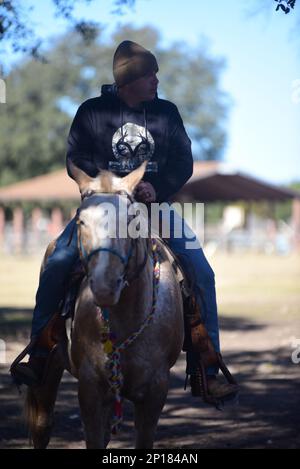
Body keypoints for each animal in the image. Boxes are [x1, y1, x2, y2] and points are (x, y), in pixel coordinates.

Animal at [24, 162, 184, 450]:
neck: (126, 321)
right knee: (42, 424)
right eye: (81, 221)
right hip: (49, 365)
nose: (104, 286)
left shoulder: (155, 393)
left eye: (131, 221)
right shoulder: (91, 390)